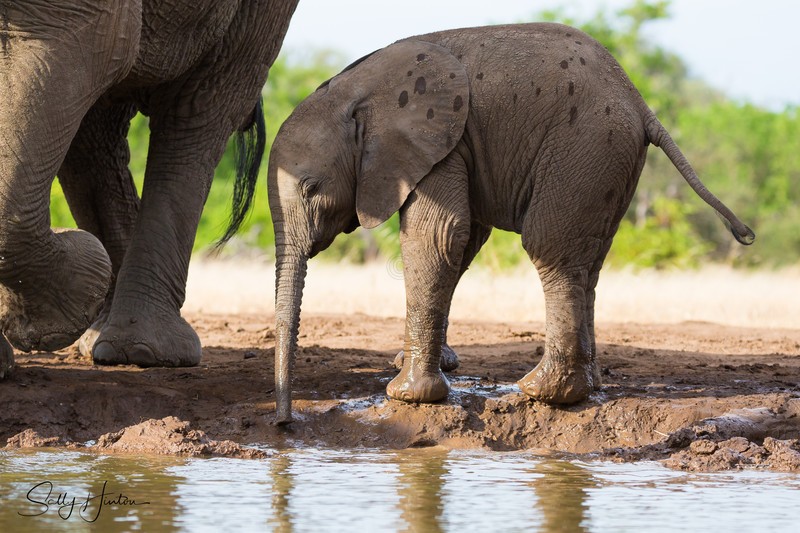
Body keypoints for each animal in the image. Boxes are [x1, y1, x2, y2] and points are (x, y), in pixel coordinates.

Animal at [267, 23, 754, 423]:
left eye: (310, 188)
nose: (284, 421)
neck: (356, 87)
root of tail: (641, 102)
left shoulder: (440, 145)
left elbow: (437, 237)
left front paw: (406, 395)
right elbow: (462, 243)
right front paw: (429, 369)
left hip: (585, 144)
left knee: (550, 247)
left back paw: (543, 392)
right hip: (611, 159)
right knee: (589, 262)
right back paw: (590, 387)